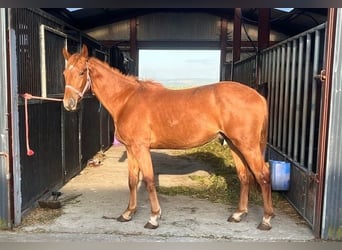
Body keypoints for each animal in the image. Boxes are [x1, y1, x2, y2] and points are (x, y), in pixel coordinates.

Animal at [62, 44, 274, 230]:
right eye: (65, 73)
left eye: (81, 72)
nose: (68, 104)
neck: (127, 100)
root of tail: (257, 96)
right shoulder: (131, 149)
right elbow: (132, 180)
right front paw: (128, 213)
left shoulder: (141, 148)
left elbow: (148, 180)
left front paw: (154, 218)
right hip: (234, 144)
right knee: (244, 176)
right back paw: (238, 214)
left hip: (248, 146)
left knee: (263, 176)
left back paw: (266, 220)